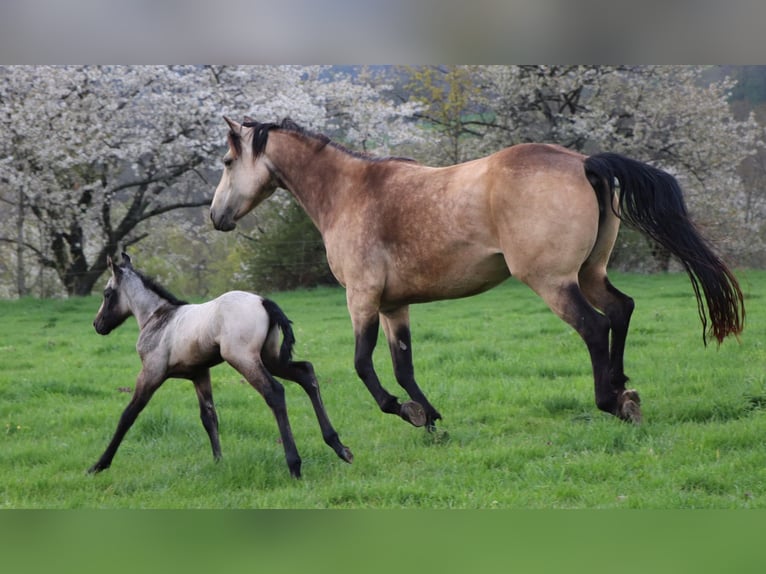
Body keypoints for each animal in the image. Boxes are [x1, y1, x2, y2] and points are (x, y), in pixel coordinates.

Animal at [90, 254, 354, 480]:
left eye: (107, 293)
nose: (97, 324)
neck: (158, 318)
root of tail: (263, 300)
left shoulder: (151, 373)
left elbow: (128, 415)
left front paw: (99, 464)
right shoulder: (199, 374)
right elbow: (209, 416)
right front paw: (219, 462)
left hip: (243, 358)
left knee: (275, 392)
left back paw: (295, 465)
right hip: (271, 358)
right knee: (306, 373)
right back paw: (339, 446)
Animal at [210, 118, 744, 432]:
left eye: (228, 160)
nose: (216, 217)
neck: (351, 193)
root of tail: (583, 161)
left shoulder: (362, 298)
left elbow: (363, 365)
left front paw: (407, 412)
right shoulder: (393, 305)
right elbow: (403, 366)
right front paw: (429, 417)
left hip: (553, 281)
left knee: (595, 326)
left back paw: (610, 402)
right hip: (590, 272)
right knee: (621, 311)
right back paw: (623, 390)